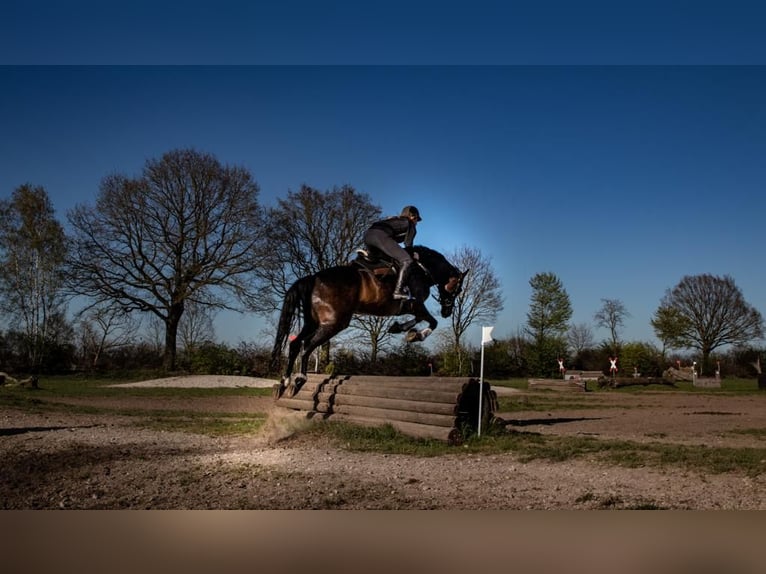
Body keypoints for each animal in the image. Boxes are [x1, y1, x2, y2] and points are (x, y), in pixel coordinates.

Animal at [272, 245, 472, 398]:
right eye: (458, 289)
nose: (447, 312)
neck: (423, 268)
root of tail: (313, 278)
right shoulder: (415, 304)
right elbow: (432, 322)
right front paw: (416, 336)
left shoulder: (411, 307)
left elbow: (420, 319)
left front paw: (400, 328)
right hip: (334, 323)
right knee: (306, 345)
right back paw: (299, 379)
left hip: (312, 322)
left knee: (295, 344)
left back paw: (285, 381)